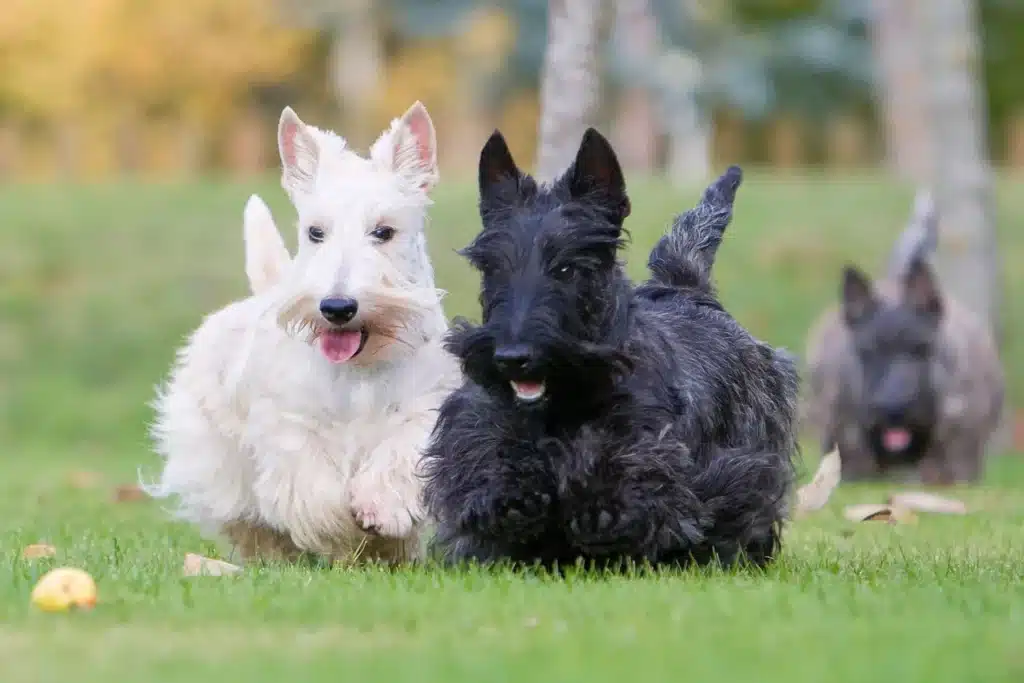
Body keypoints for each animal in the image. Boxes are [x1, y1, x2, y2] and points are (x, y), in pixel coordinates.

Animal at [144, 100, 460, 561]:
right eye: (315, 232)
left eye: (384, 231)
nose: (337, 307)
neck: (361, 367)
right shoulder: (291, 426)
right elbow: (314, 491)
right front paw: (340, 529)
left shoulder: (423, 410)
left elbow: (398, 459)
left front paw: (379, 510)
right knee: (248, 521)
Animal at [417, 127, 798, 573]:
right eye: (491, 267)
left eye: (568, 268)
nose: (512, 357)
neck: (563, 402)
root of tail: (689, 288)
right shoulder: (473, 431)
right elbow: (488, 467)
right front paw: (512, 495)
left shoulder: (651, 448)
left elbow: (625, 479)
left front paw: (597, 511)